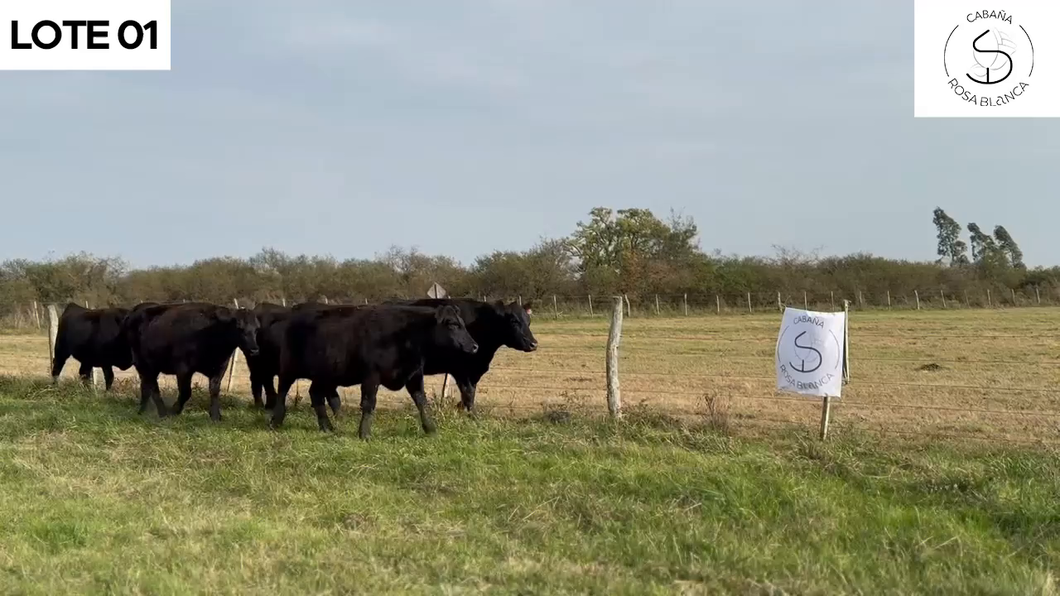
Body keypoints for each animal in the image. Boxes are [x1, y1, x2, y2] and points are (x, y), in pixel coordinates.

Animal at [122, 301, 261, 417]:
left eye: (256, 329)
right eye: (239, 328)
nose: (254, 350)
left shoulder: (220, 367)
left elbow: (214, 390)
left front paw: (216, 416)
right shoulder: (183, 368)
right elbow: (185, 392)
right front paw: (175, 410)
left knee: (147, 386)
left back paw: (143, 411)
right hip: (143, 364)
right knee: (152, 387)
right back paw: (162, 412)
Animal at [269, 301, 481, 436]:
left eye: (462, 323)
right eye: (452, 324)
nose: (474, 346)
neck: (405, 335)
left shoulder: (414, 375)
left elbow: (422, 402)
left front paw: (430, 429)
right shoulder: (371, 376)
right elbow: (368, 403)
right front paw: (364, 433)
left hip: (325, 375)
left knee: (316, 395)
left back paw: (327, 427)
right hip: (289, 369)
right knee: (282, 392)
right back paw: (276, 421)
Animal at [392, 296, 538, 413]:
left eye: (529, 321)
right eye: (514, 321)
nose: (534, 344)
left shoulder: (474, 371)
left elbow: (470, 393)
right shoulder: (461, 369)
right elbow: (468, 393)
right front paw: (472, 416)